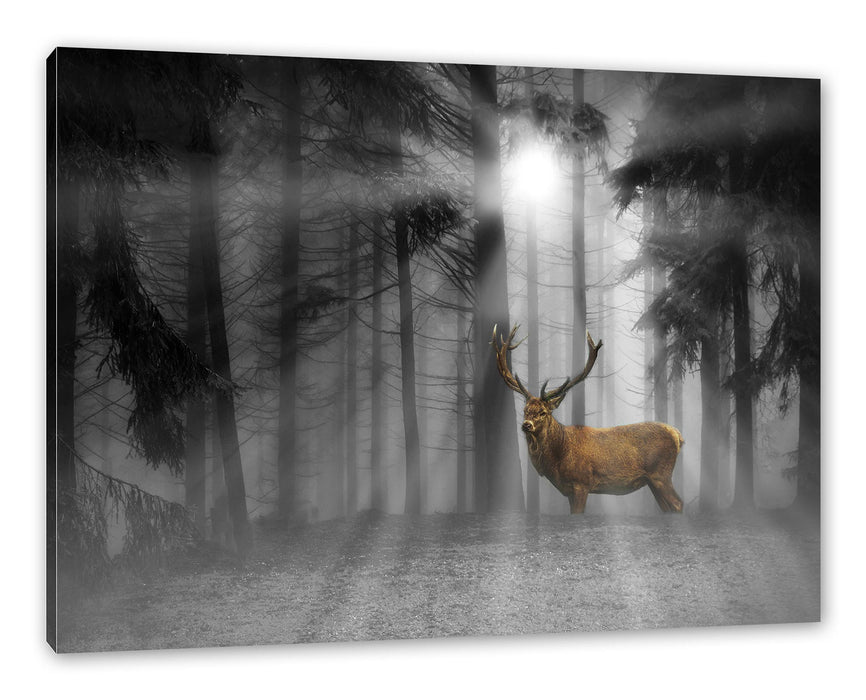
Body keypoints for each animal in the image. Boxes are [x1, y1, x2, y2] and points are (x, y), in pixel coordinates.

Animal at [491, 324, 684, 514]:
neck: (558, 456)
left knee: (678, 503)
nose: (526, 425)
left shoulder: (581, 483)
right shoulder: (569, 490)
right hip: (652, 481)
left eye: (543, 412)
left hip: (661, 473)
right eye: (525, 410)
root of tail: (677, 435)